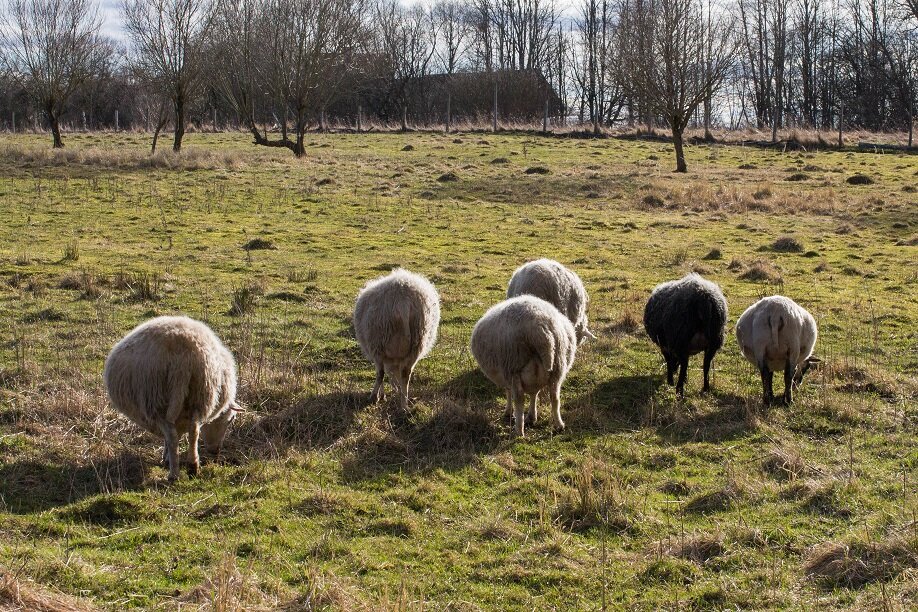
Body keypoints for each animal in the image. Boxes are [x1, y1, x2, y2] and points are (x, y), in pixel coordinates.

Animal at [104, 316, 241, 482]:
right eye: (231, 419)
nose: (216, 452)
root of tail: (184, 358)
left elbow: (170, 438)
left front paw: (166, 458)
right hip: (199, 396)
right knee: (194, 431)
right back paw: (193, 467)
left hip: (157, 399)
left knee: (172, 436)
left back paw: (174, 474)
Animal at [352, 266, 442, 406]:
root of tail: (403, 301)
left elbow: (383, 373)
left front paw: (381, 395)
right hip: (417, 342)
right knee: (406, 374)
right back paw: (404, 404)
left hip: (377, 342)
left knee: (380, 373)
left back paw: (374, 397)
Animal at [470, 296, 580, 436]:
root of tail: (540, 329)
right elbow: (534, 394)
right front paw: (532, 416)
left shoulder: (506, 375)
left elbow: (509, 393)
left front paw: (508, 412)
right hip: (558, 367)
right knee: (555, 397)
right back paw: (559, 425)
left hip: (513, 366)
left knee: (519, 400)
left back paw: (519, 430)